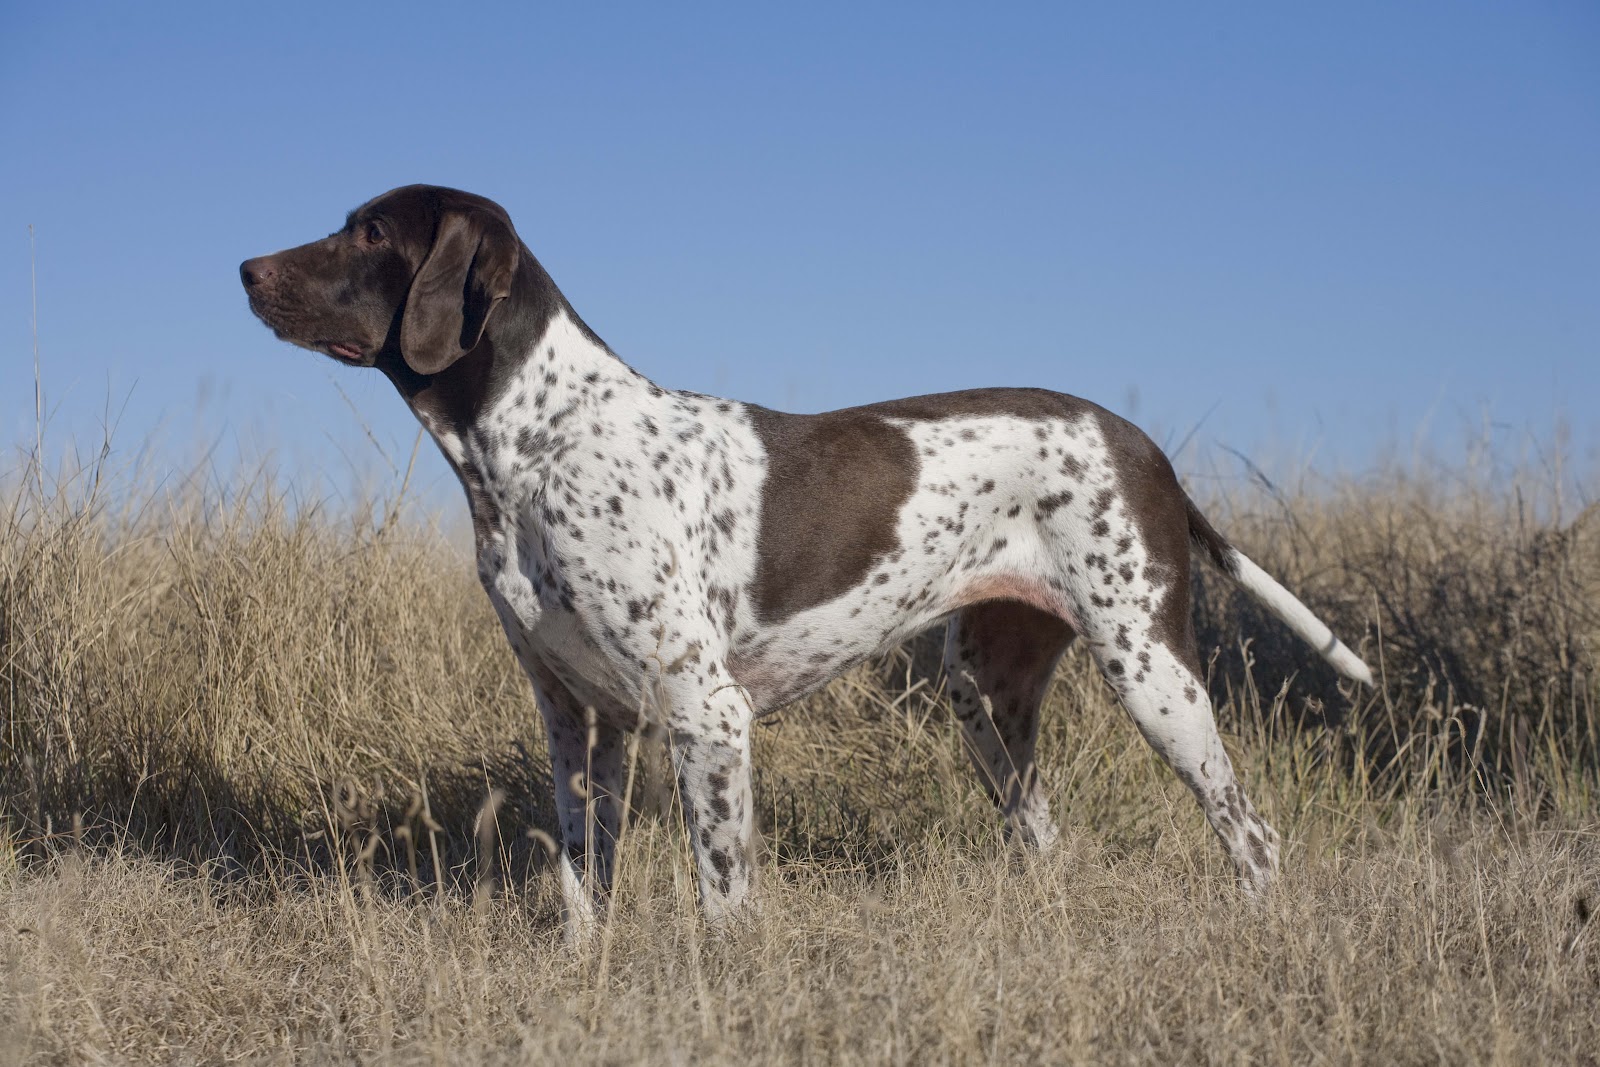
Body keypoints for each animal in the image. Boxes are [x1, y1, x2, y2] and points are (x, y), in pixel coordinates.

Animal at [240, 187, 1376, 940]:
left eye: (369, 231)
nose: (246, 269)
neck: (542, 441)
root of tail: (1144, 443)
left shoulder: (705, 711)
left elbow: (724, 890)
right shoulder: (579, 718)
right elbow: (581, 879)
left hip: (1149, 669)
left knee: (1252, 835)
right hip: (987, 695)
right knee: (1043, 834)